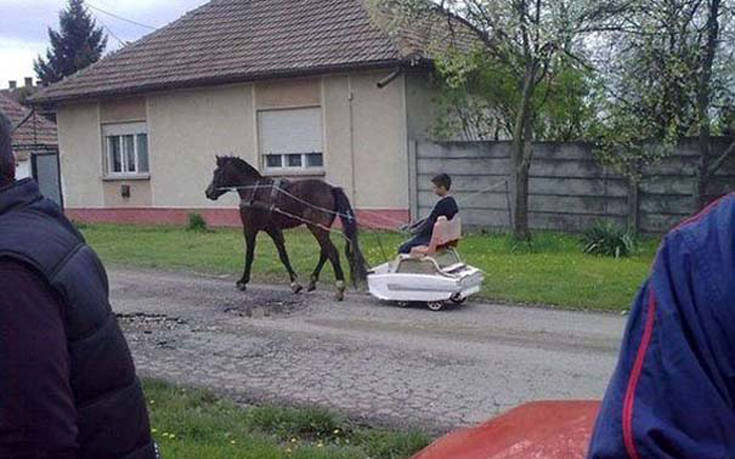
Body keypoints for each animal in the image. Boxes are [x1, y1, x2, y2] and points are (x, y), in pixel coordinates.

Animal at [204, 156, 368, 302]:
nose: (208, 192)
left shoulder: (250, 229)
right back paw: (313, 280)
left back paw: (339, 287)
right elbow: (283, 255)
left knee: (332, 252)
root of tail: (331, 189)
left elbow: (249, 255)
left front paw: (243, 281)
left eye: (217, 172)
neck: (254, 189)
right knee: (325, 252)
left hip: (316, 228)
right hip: (319, 228)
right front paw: (295, 283)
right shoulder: (273, 230)